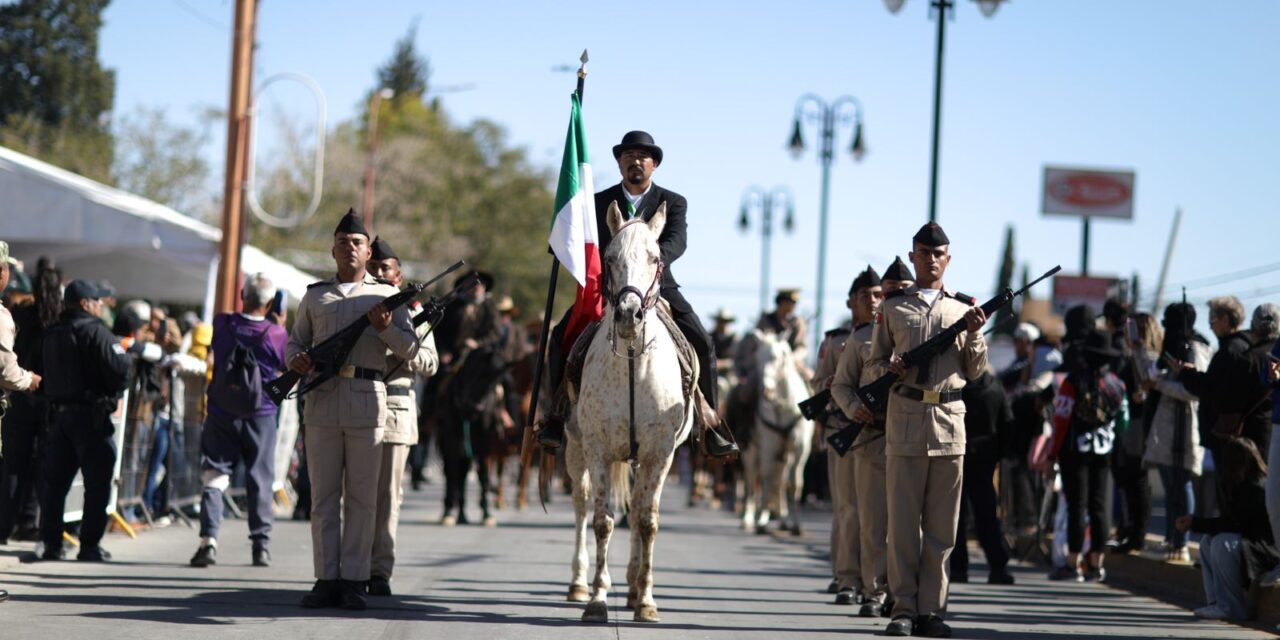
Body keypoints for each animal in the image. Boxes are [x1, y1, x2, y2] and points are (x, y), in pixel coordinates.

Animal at [565, 199, 696, 619]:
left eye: (656, 257)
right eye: (608, 256)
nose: (628, 314)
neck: (633, 363)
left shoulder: (661, 453)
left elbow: (647, 521)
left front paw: (647, 601)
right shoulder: (597, 449)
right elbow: (602, 521)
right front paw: (597, 599)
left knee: (638, 508)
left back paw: (636, 587)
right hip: (575, 449)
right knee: (581, 504)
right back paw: (579, 583)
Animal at [742, 330, 808, 535]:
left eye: (777, 357)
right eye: (758, 359)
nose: (767, 392)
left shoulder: (800, 449)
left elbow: (795, 484)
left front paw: (796, 525)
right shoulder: (768, 447)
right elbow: (767, 480)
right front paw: (762, 522)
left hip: (784, 456)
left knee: (781, 483)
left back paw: (784, 521)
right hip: (751, 452)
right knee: (753, 481)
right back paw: (748, 519)